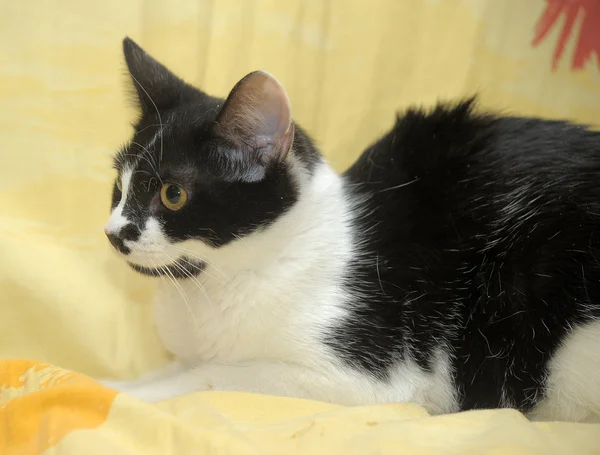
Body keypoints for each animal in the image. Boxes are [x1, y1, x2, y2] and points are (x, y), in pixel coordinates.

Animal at [103, 37, 600, 422]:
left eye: (172, 194)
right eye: (119, 187)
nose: (114, 232)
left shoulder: (371, 377)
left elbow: (211, 376)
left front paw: (126, 394)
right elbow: (178, 369)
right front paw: (122, 378)